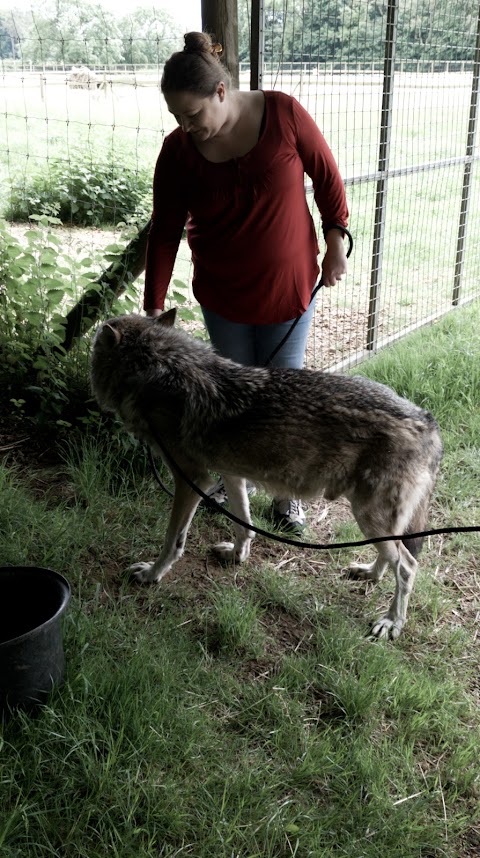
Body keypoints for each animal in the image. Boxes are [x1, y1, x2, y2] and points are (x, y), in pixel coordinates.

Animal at [90, 308, 442, 636]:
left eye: (93, 348)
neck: (159, 372)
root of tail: (428, 421)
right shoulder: (230, 473)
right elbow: (243, 522)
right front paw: (237, 555)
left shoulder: (191, 479)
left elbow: (172, 541)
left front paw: (152, 574)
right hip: (375, 519)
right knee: (392, 555)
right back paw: (370, 574)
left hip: (369, 516)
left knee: (408, 566)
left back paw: (392, 621)